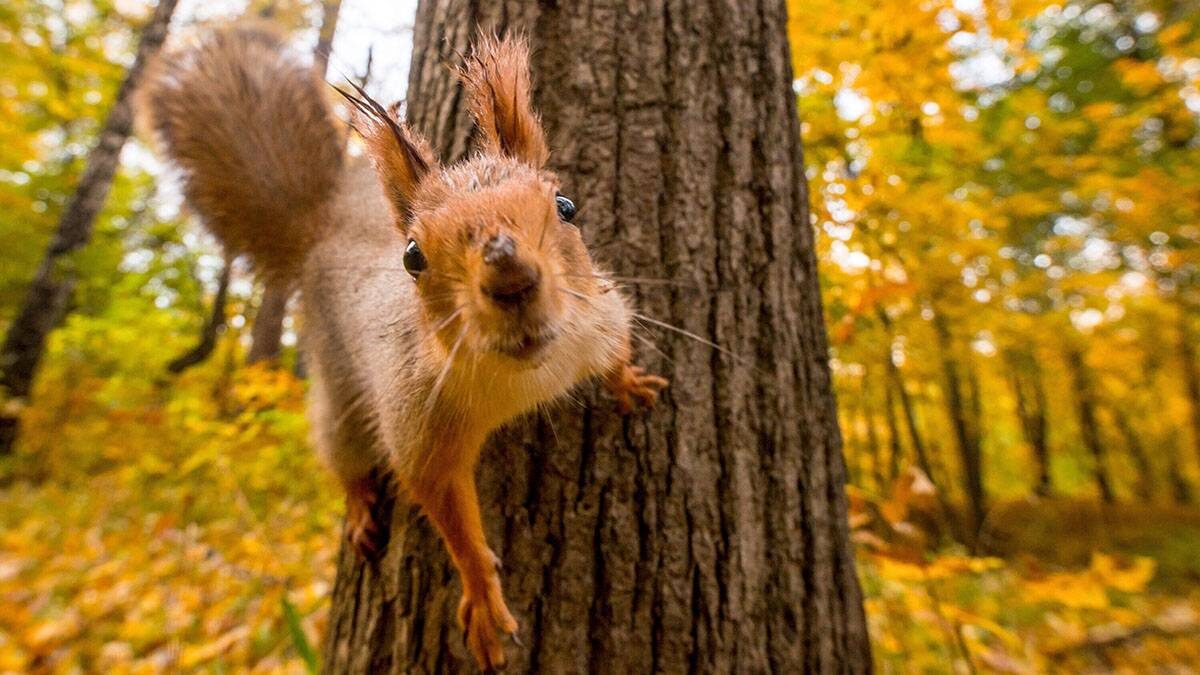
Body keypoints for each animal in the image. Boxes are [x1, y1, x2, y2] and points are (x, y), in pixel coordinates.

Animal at [138, 22, 676, 672]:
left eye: (565, 206)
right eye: (414, 256)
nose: (510, 279)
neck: (526, 374)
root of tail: (318, 236)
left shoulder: (597, 316)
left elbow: (618, 346)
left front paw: (630, 382)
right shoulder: (417, 416)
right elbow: (443, 503)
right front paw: (482, 597)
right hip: (340, 391)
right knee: (341, 448)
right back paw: (360, 505)